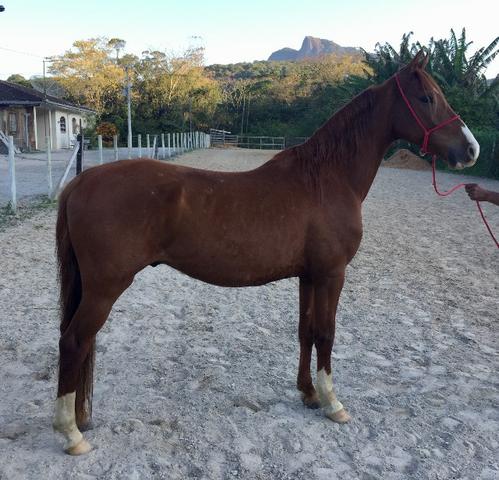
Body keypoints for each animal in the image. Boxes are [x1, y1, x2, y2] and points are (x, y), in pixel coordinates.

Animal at [52, 52, 478, 454]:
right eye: (427, 98)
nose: (470, 149)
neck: (326, 179)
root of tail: (82, 181)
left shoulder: (309, 276)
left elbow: (306, 331)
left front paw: (308, 393)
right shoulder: (332, 274)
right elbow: (327, 333)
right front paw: (333, 403)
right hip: (106, 287)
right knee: (74, 342)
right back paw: (71, 434)